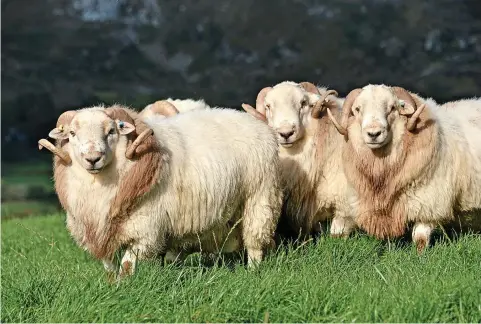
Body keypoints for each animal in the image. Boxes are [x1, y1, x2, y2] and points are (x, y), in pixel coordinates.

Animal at [40, 105, 284, 278]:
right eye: (72, 133)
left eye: (111, 131)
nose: (93, 158)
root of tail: (258, 124)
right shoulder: (99, 229)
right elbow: (109, 266)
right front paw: (111, 286)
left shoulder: (144, 229)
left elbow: (126, 266)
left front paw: (122, 289)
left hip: (259, 199)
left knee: (255, 243)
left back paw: (253, 273)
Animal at [326, 84, 480, 251]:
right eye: (357, 109)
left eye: (393, 107)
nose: (374, 134)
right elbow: (339, 230)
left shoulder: (429, 201)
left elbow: (420, 238)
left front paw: (420, 255)